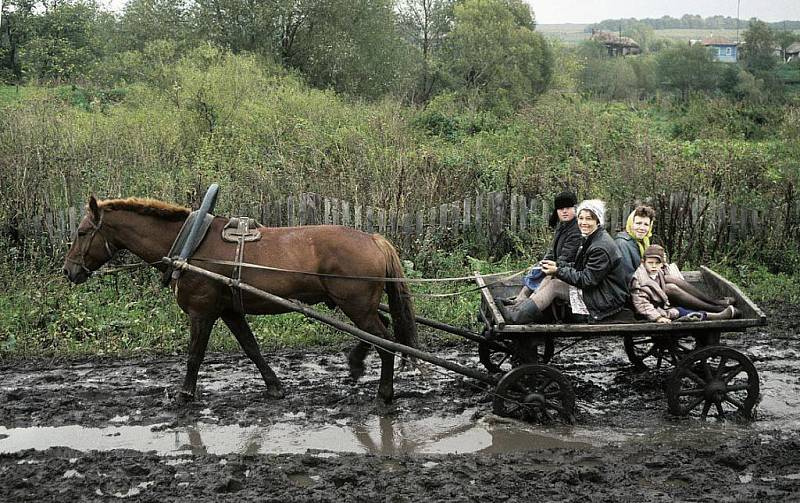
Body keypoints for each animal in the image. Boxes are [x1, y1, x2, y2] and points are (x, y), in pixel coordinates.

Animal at [62, 195, 418, 404]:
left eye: (82, 232)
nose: (69, 270)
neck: (191, 245)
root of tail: (373, 238)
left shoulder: (202, 312)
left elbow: (195, 355)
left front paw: (185, 394)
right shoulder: (230, 311)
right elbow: (251, 348)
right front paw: (274, 386)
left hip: (356, 305)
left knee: (385, 340)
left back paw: (385, 393)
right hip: (361, 306)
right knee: (379, 330)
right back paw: (357, 364)